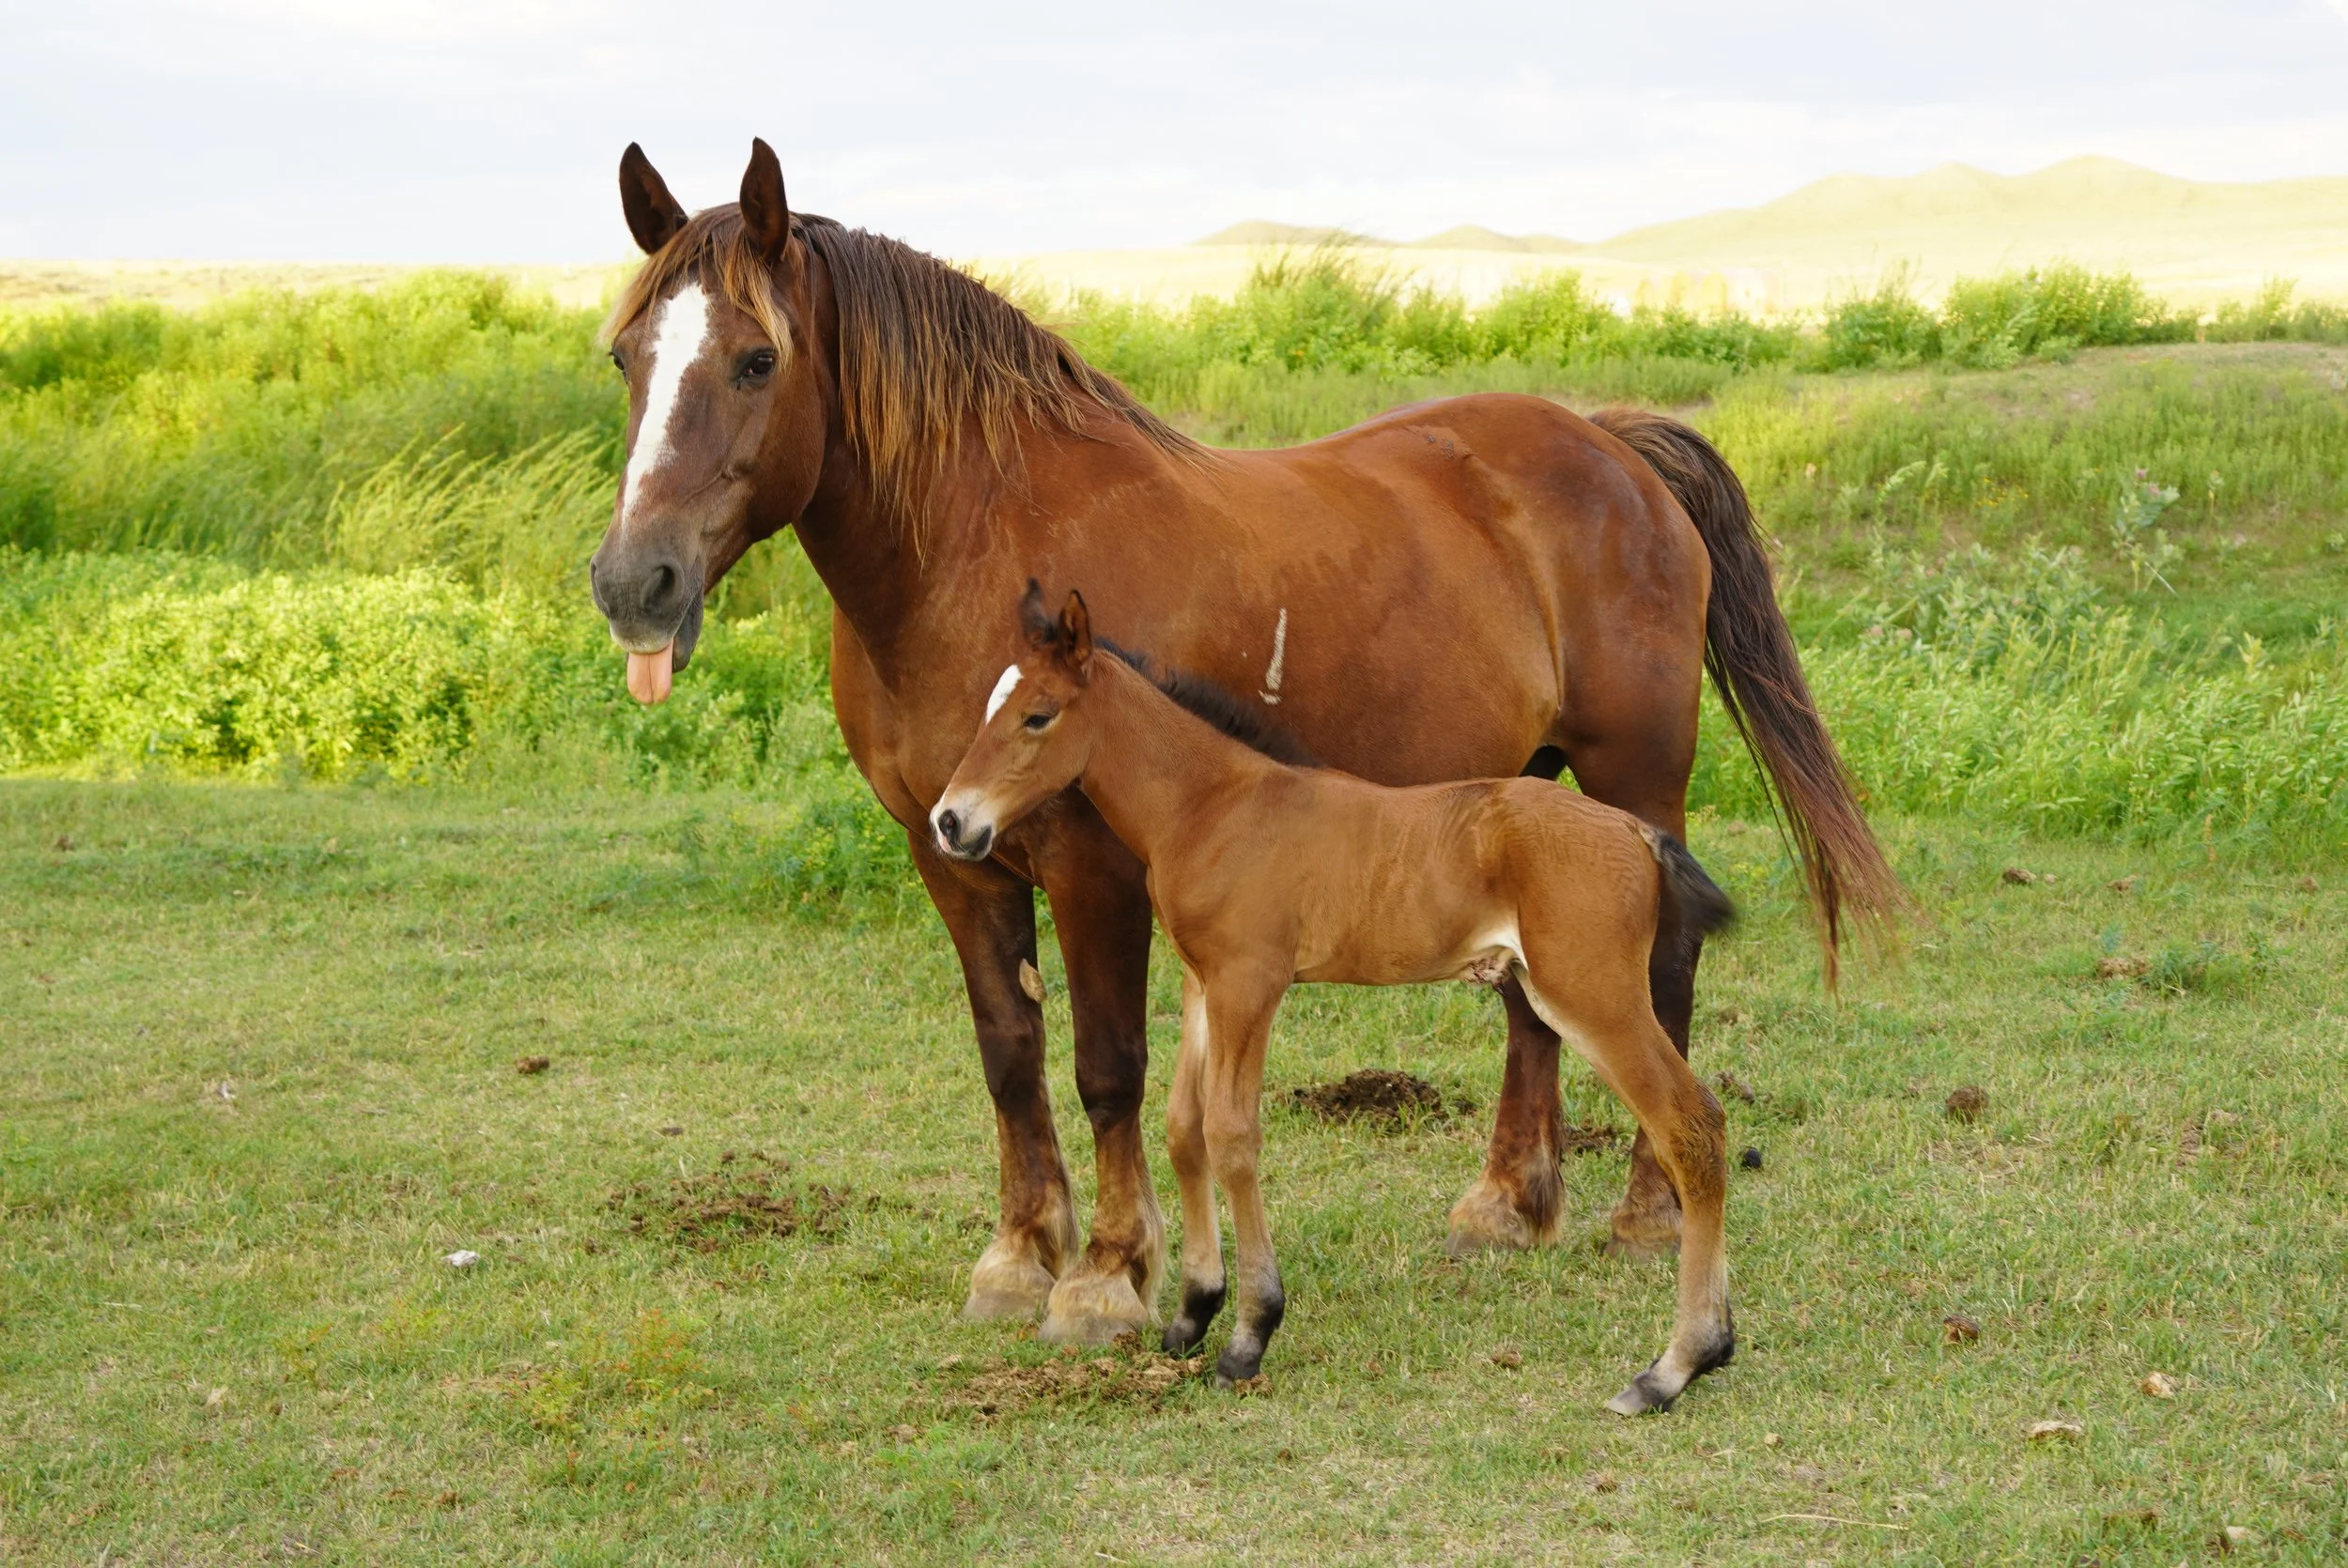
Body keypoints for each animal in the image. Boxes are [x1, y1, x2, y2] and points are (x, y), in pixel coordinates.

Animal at [932, 583, 1739, 1413]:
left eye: (1038, 715)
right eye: (991, 707)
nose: (950, 821)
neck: (1212, 805)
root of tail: (1636, 832)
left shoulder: (1251, 983)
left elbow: (1231, 1135)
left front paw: (1249, 1335)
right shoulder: (1202, 982)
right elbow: (1185, 1129)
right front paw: (1192, 1314)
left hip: (1594, 996)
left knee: (1691, 1126)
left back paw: (1672, 1366)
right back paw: (1706, 1348)